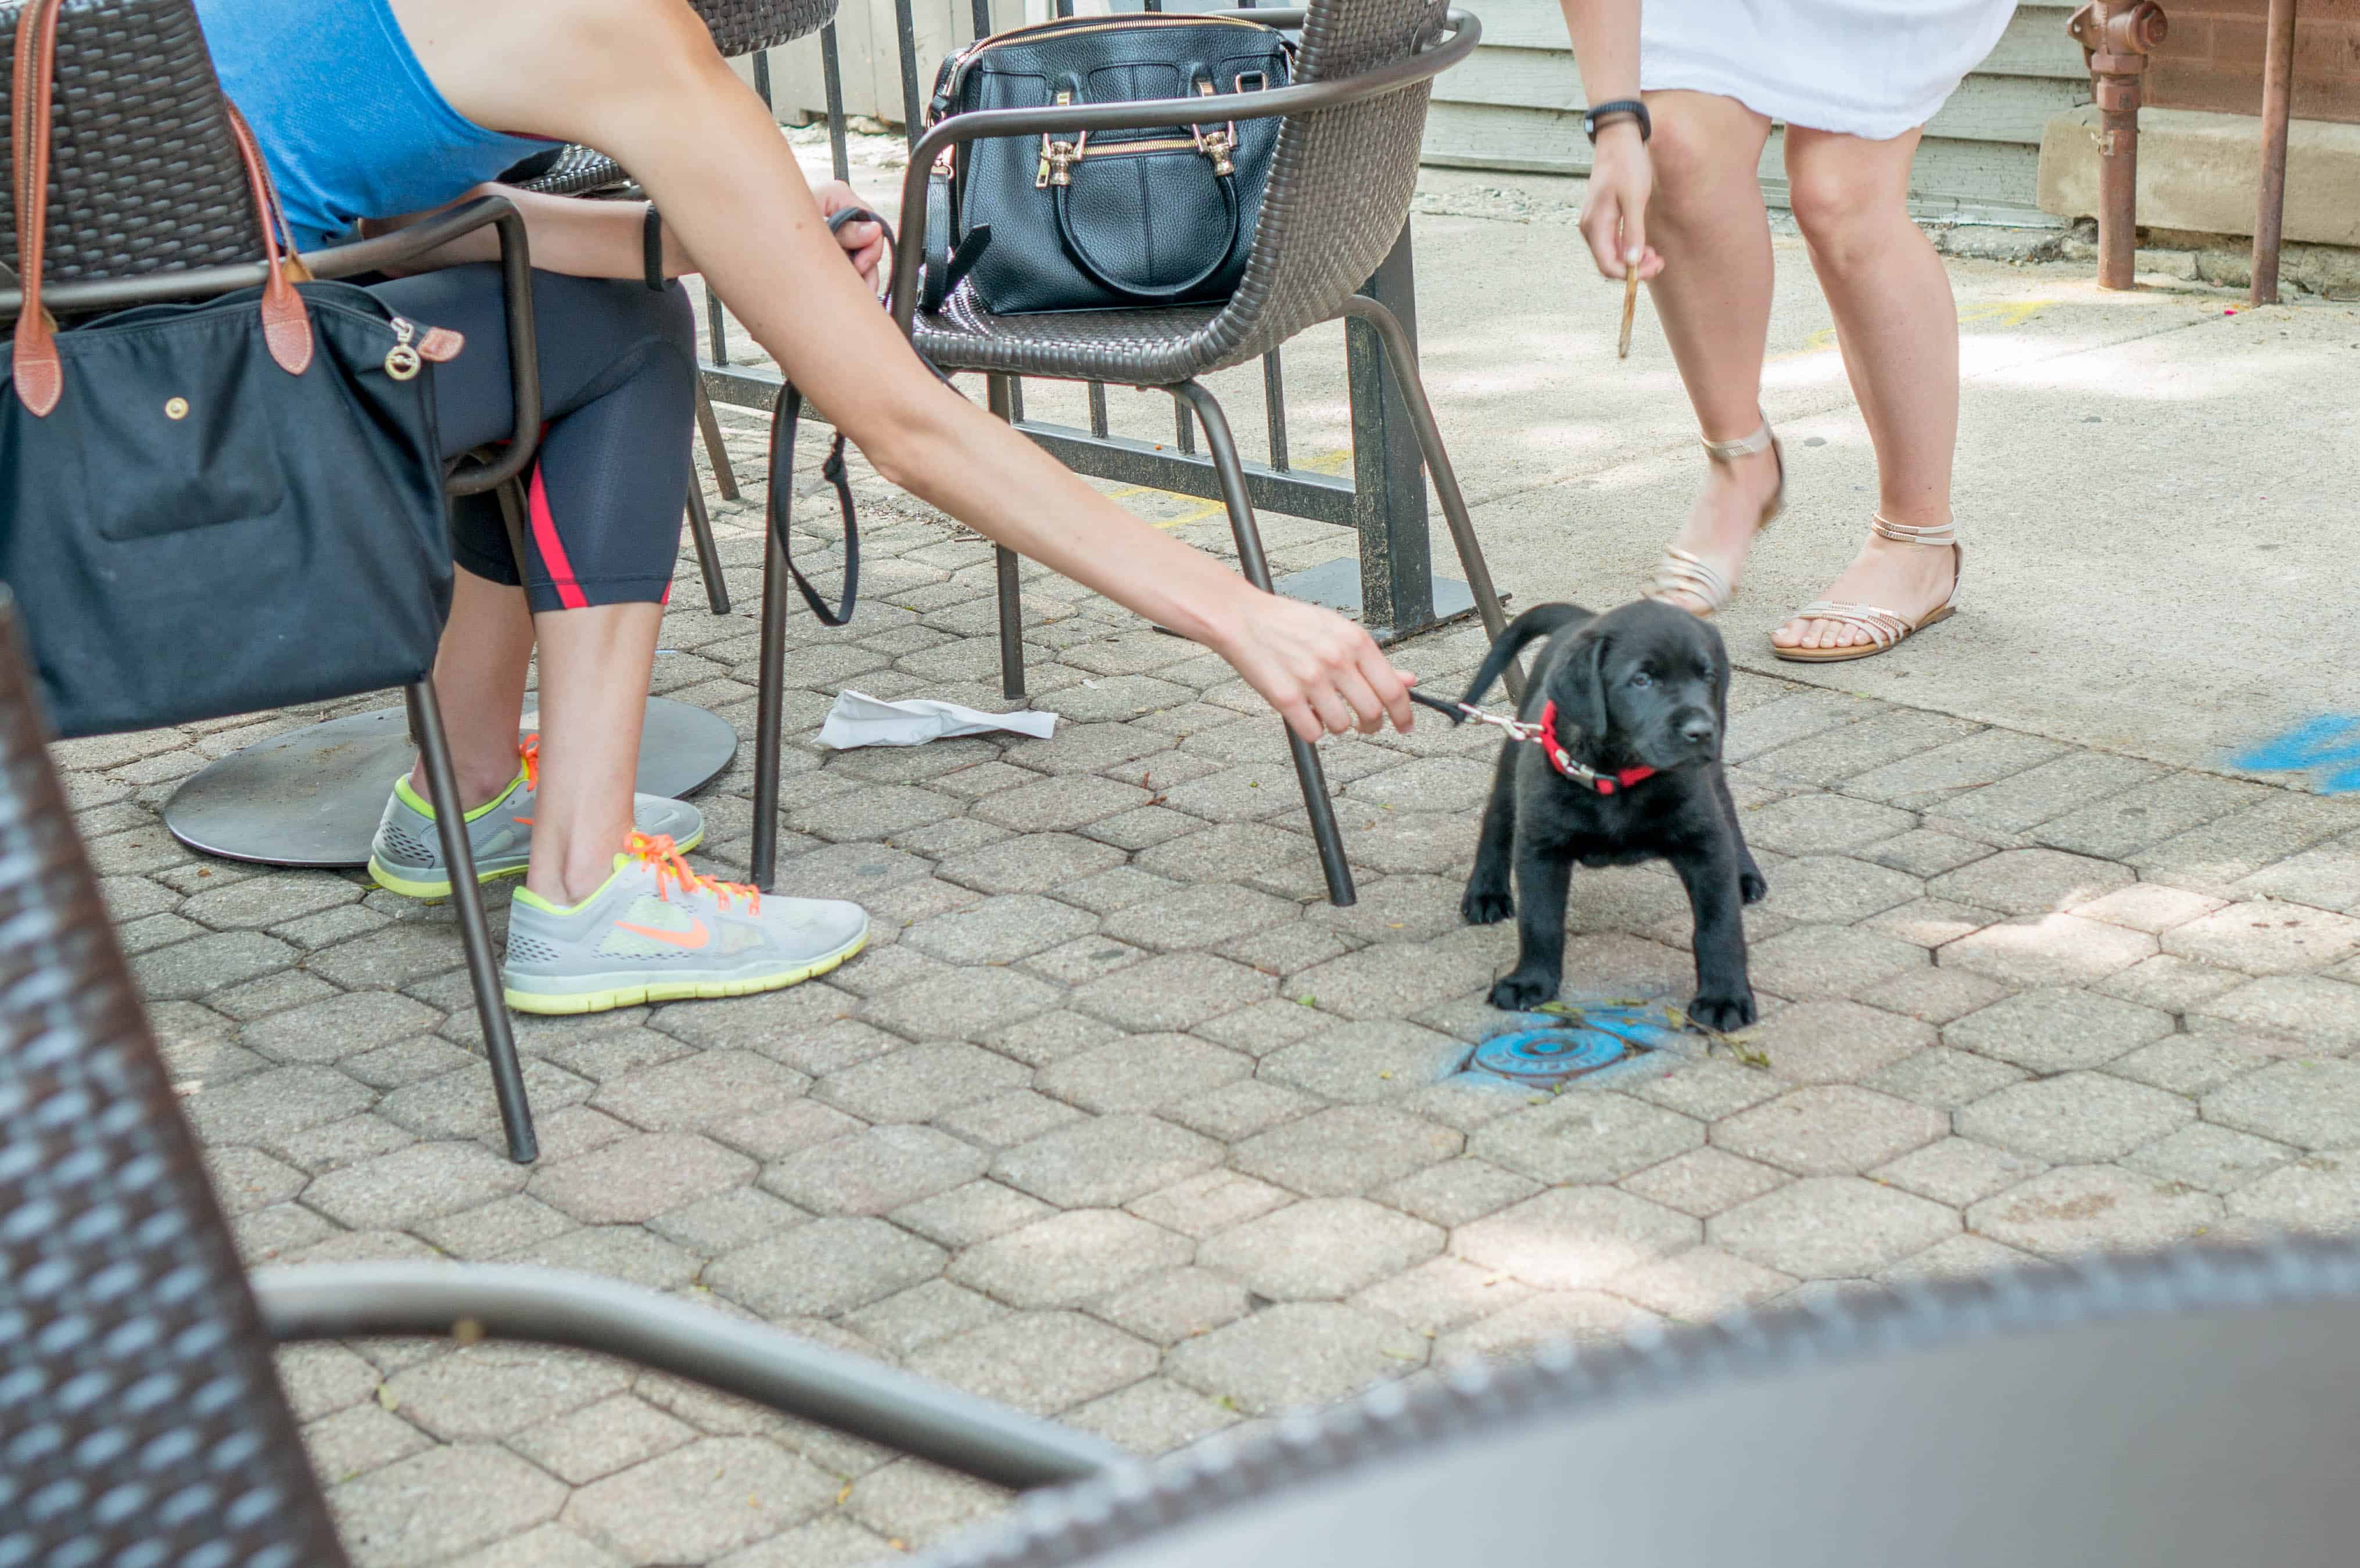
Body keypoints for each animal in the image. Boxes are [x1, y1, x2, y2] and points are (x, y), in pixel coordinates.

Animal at [1454, 600, 1774, 1029]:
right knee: (1497, 818)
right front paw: (1531, 982)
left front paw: (1725, 997)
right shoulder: (1541, 846)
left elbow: (1719, 925)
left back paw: (1744, 874)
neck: (1619, 775)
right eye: (1642, 680)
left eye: (1708, 675)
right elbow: (1540, 921)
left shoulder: (1703, 840)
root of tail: (1580, 620)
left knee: (1728, 810)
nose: (1702, 730)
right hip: (1516, 755)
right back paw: (1486, 892)